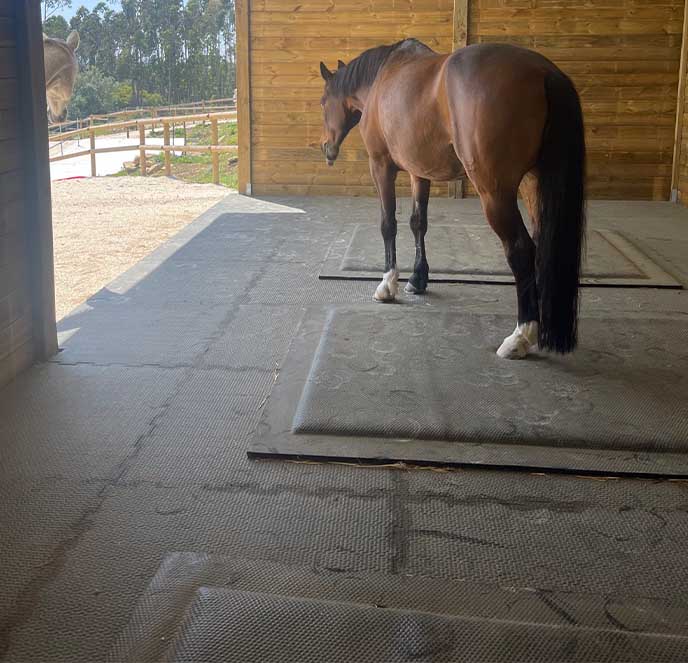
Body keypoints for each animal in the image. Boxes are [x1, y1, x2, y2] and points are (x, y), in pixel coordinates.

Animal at [319, 39, 586, 360]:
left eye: (323, 101)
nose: (326, 148)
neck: (381, 77)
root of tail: (544, 71)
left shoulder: (381, 166)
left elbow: (388, 224)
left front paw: (387, 284)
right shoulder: (418, 172)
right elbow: (418, 223)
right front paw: (417, 279)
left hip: (495, 194)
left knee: (521, 250)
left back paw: (521, 336)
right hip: (533, 185)